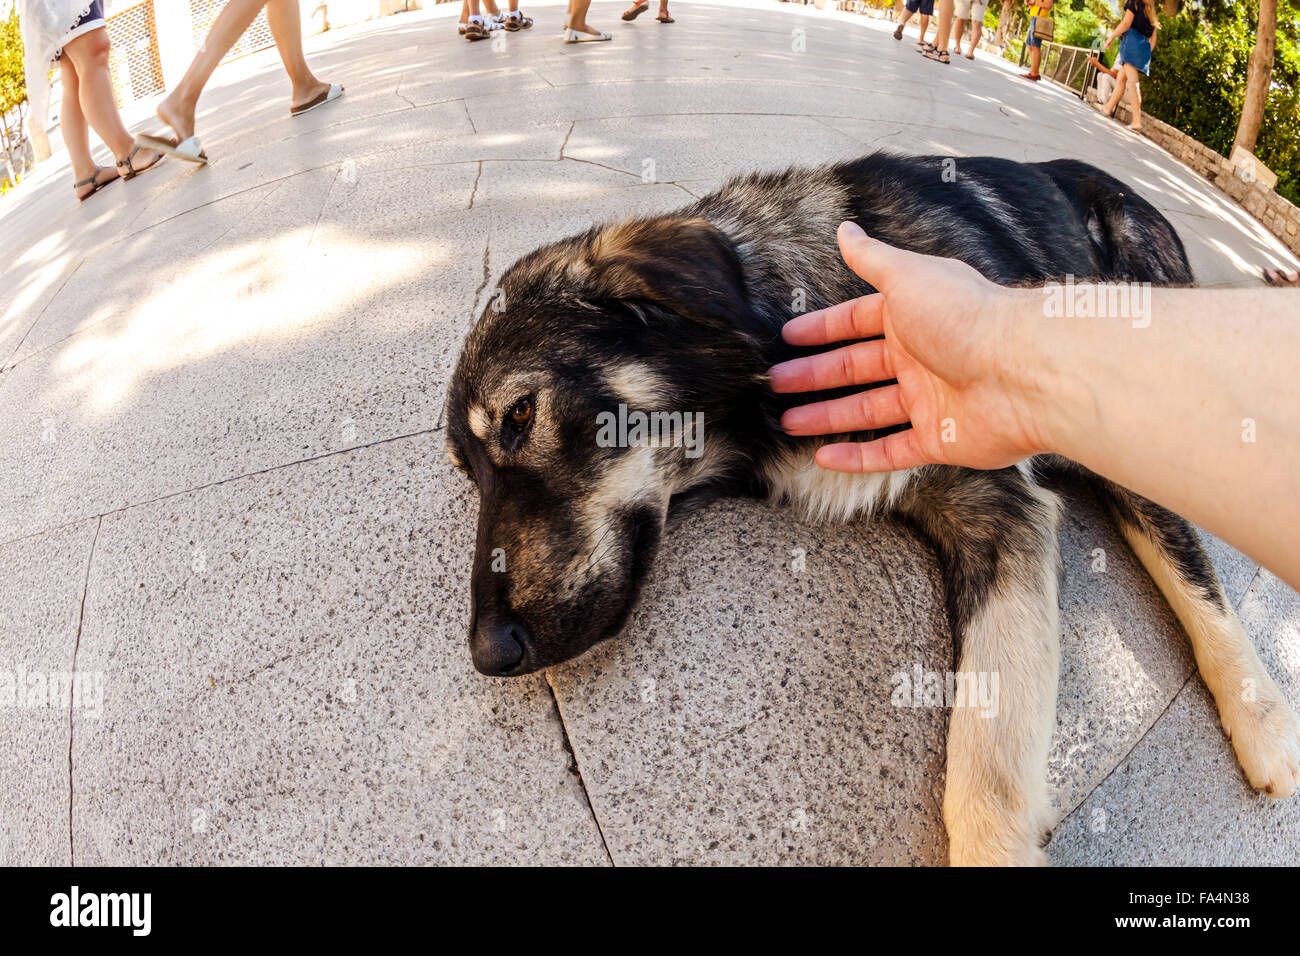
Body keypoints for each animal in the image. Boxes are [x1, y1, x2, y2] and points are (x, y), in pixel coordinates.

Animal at [447, 151, 1300, 868]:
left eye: (520, 414)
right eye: (468, 474)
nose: (490, 653)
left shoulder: (1005, 500)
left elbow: (986, 766)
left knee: (1190, 563)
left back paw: (1262, 718)